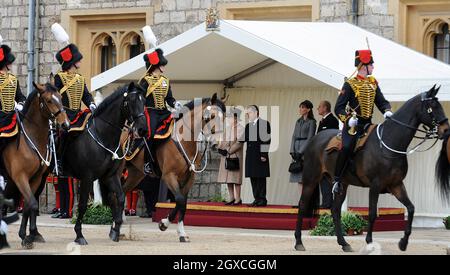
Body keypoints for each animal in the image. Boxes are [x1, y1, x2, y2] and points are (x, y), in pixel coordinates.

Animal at [1, 82, 69, 250]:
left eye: (60, 97)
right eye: (49, 100)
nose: (65, 124)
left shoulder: (36, 178)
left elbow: (29, 205)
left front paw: (28, 235)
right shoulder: (20, 177)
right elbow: (31, 203)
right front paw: (27, 236)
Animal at [121, 95, 225, 244]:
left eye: (224, 117)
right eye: (210, 116)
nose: (216, 144)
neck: (183, 140)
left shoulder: (188, 179)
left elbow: (183, 203)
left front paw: (181, 232)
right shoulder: (169, 176)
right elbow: (180, 200)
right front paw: (164, 224)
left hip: (136, 174)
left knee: (122, 191)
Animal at [298, 85, 448, 252]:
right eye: (431, 107)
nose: (446, 130)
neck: (388, 143)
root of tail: (315, 139)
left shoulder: (396, 185)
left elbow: (411, 208)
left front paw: (403, 242)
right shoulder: (375, 185)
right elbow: (372, 214)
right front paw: (369, 242)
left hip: (343, 184)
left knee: (335, 211)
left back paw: (344, 243)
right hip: (311, 179)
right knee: (302, 205)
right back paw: (299, 242)